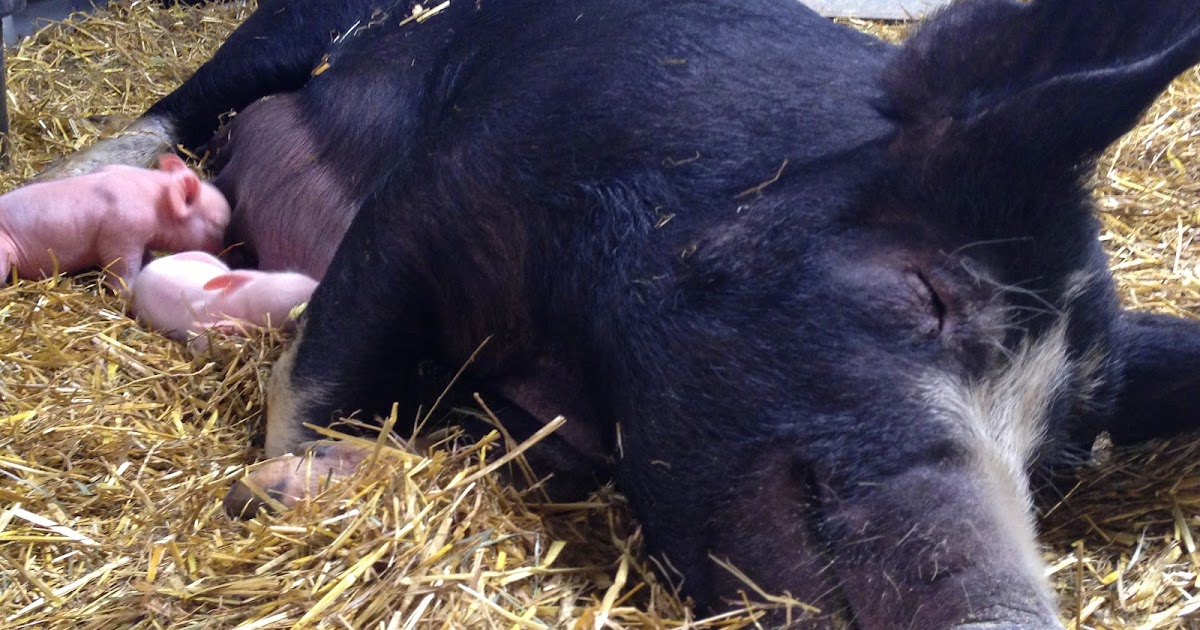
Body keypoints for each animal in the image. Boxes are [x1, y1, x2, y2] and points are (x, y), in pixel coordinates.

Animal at [0, 154, 229, 291]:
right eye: (217, 225)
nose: (229, 252)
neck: (154, 200)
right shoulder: (121, 235)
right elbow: (123, 268)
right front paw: (127, 293)